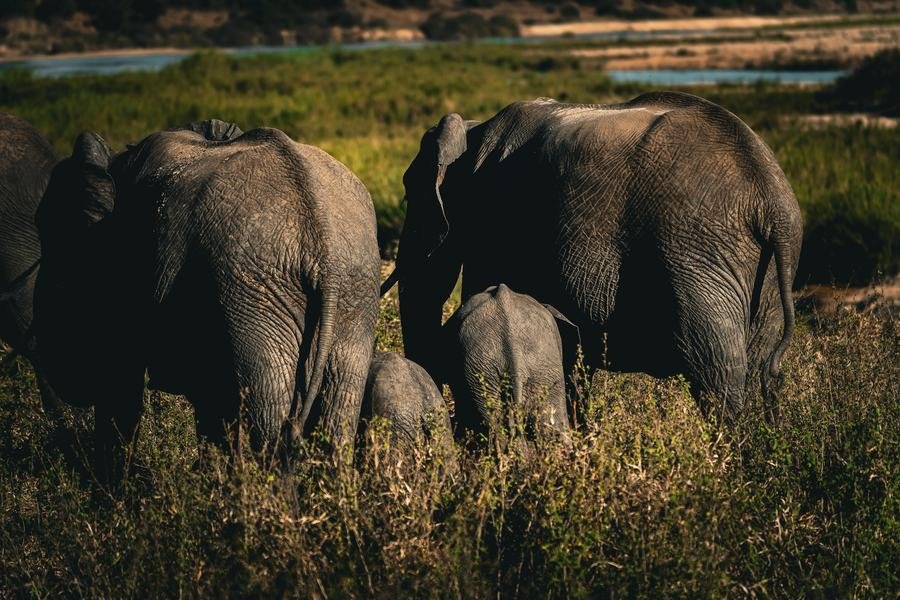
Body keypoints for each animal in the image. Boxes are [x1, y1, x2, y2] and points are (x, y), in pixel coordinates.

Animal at [33, 119, 380, 479]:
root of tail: (321, 240)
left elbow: (119, 383)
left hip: (256, 290)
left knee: (269, 418)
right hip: (350, 289)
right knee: (337, 418)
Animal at [382, 92, 803, 423]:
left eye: (410, 194)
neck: (473, 130)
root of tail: (773, 202)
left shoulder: (496, 220)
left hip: (697, 255)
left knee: (717, 376)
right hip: (756, 269)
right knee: (755, 367)